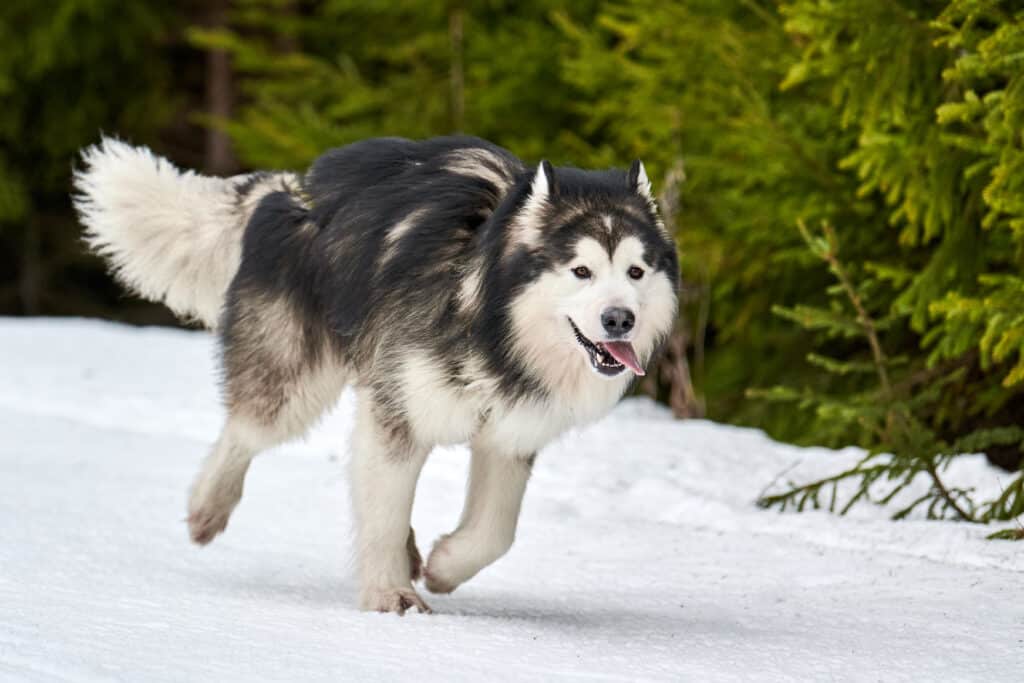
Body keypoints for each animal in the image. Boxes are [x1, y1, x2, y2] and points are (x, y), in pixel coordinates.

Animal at [72, 135, 679, 614]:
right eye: (581, 271)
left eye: (635, 271)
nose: (619, 318)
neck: (487, 321)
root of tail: (292, 187)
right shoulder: (398, 414)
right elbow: (385, 511)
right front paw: (392, 597)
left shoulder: (510, 433)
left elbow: (494, 533)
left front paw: (442, 566)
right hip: (295, 383)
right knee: (246, 430)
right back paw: (208, 507)